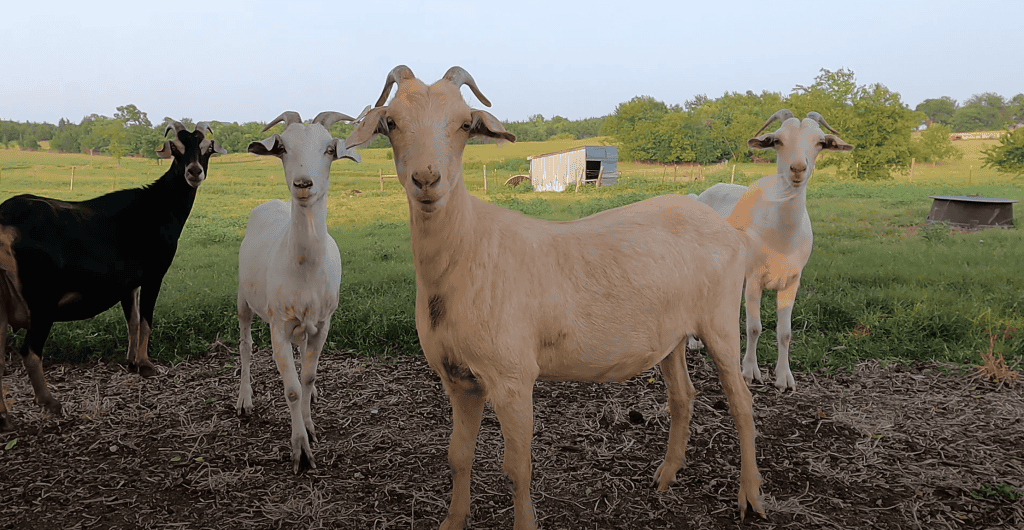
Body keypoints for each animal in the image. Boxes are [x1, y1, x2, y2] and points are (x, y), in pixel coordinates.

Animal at [0, 122, 225, 431]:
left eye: (206, 149)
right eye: (177, 149)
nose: (194, 172)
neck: (156, 206)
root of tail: (5, 222)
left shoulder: (128, 284)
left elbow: (132, 320)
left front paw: (131, 362)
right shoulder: (154, 274)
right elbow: (146, 320)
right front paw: (146, 365)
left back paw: (4, 417)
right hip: (42, 302)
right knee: (30, 351)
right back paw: (51, 403)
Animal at [236, 111, 360, 473]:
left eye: (329, 149)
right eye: (282, 148)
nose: (303, 184)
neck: (304, 270)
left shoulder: (323, 321)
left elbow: (307, 375)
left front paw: (310, 424)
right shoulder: (278, 323)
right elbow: (291, 388)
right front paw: (301, 450)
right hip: (243, 296)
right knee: (245, 345)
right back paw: (244, 400)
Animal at [345, 65, 763, 529]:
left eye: (465, 125)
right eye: (391, 122)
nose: (426, 179)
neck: (468, 251)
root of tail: (732, 231)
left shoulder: (512, 376)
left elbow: (517, 468)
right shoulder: (459, 379)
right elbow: (457, 457)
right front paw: (453, 521)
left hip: (720, 321)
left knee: (742, 404)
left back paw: (750, 498)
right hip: (672, 334)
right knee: (682, 397)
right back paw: (666, 475)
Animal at [694, 110, 852, 390]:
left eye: (820, 142)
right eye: (777, 140)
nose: (798, 168)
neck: (782, 239)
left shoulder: (793, 280)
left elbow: (785, 332)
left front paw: (784, 378)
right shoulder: (755, 278)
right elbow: (754, 327)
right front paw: (749, 372)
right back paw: (693, 343)